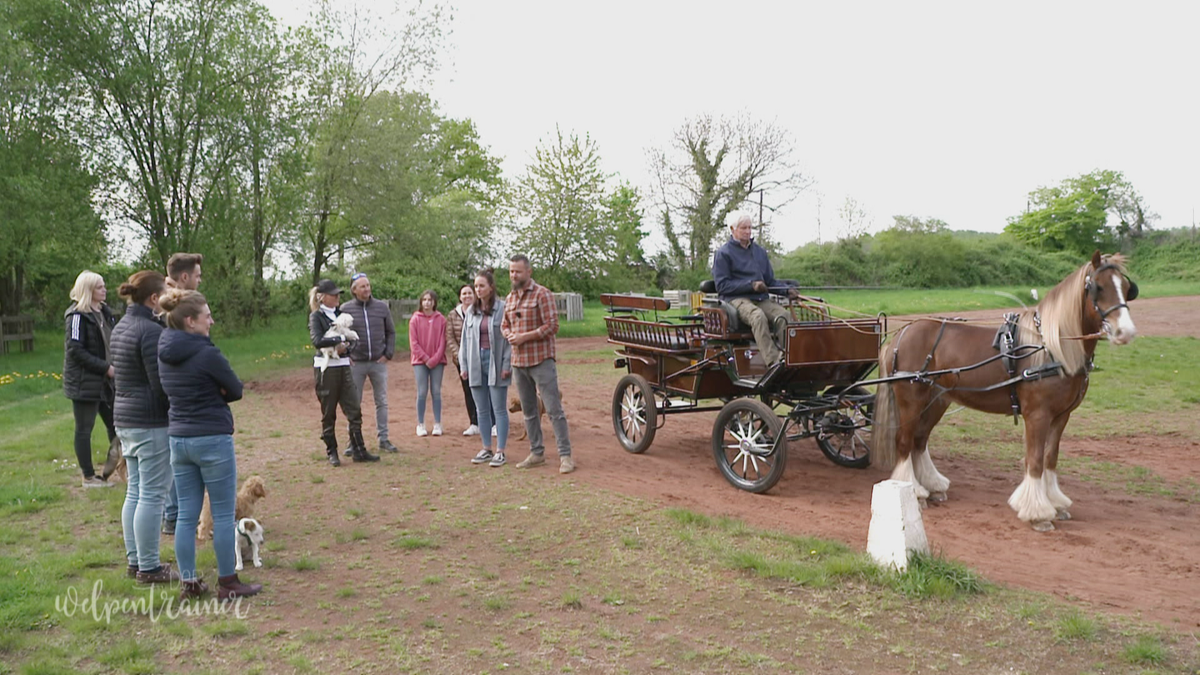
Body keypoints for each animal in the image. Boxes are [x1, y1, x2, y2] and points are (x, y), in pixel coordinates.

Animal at [873, 252, 1132, 530]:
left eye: (1127, 288)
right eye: (1098, 287)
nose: (1125, 332)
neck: (1050, 348)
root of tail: (902, 333)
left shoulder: (1062, 416)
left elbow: (1050, 458)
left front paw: (1056, 503)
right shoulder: (1038, 415)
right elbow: (1035, 460)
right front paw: (1038, 513)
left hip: (937, 401)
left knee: (919, 441)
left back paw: (932, 487)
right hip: (911, 400)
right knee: (904, 442)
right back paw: (914, 492)